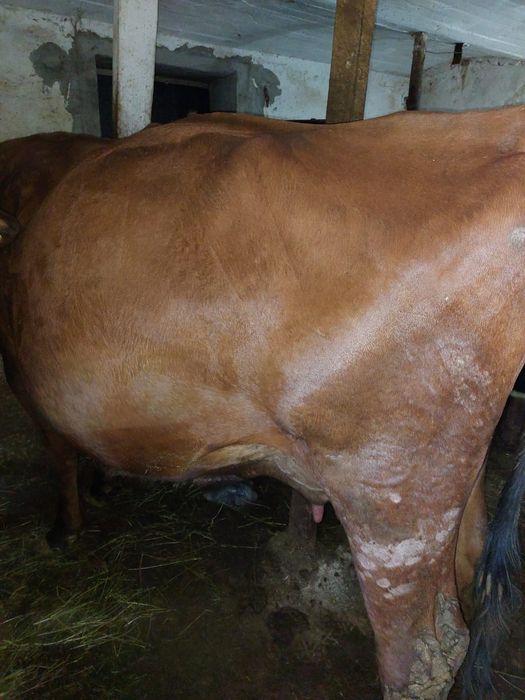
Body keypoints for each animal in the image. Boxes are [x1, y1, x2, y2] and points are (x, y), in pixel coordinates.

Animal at [1, 108, 524, 699]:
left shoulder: (28, 386)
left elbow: (62, 459)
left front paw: (65, 529)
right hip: (456, 469)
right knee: (470, 565)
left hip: (391, 492)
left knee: (422, 659)